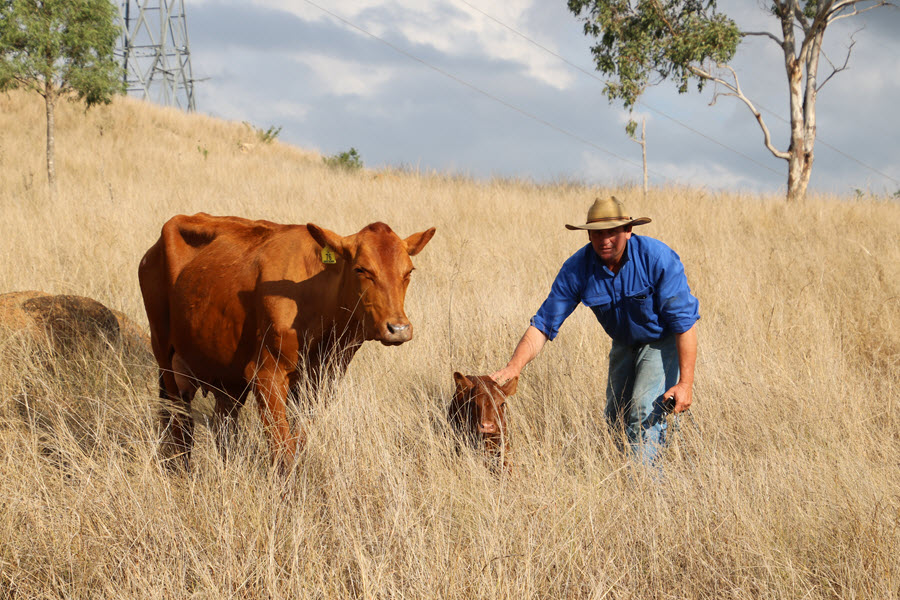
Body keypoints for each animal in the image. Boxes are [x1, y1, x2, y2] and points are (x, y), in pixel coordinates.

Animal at [138, 211, 436, 468]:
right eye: (362, 270)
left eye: (409, 271)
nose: (398, 328)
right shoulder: (266, 375)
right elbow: (284, 451)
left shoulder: (322, 379)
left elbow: (300, 441)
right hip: (165, 356)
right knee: (179, 426)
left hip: (226, 374)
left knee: (223, 426)